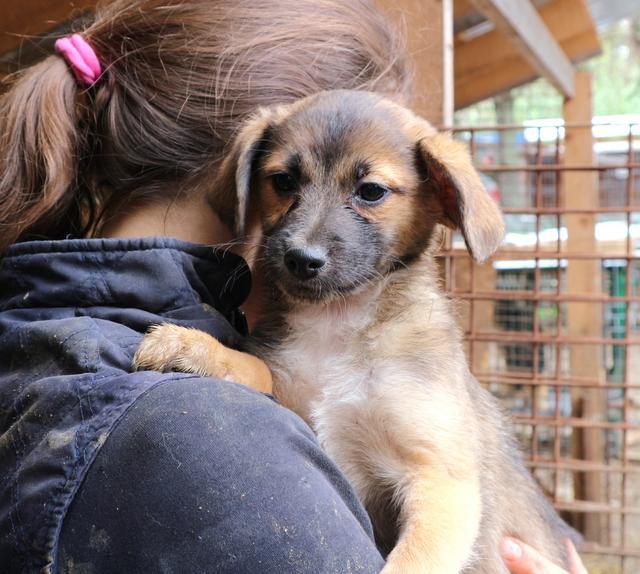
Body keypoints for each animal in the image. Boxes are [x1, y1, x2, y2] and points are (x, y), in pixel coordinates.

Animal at [135, 92, 580, 572]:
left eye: (371, 192)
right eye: (283, 181)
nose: (301, 258)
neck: (336, 326)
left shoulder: (440, 480)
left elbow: (410, 562)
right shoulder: (293, 396)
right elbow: (257, 367)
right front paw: (194, 348)